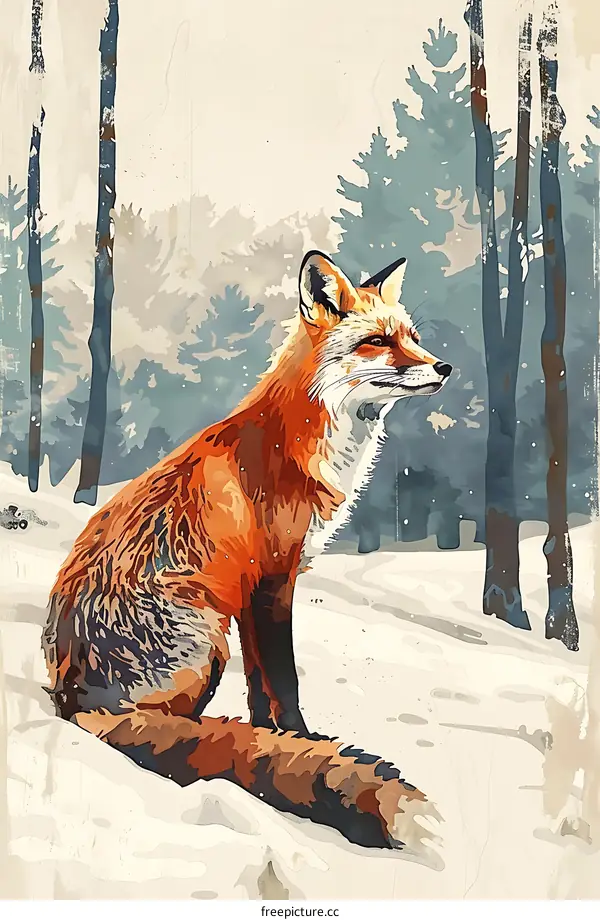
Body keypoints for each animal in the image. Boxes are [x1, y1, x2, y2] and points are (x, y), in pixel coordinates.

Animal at [42, 251, 452, 852]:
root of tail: (73, 696)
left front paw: (279, 741)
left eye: (413, 338)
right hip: (208, 637)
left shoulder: (254, 593)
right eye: (378, 341)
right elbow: (284, 680)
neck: (304, 440)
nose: (444, 367)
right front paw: (300, 740)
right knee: (169, 733)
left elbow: (261, 690)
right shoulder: (272, 580)